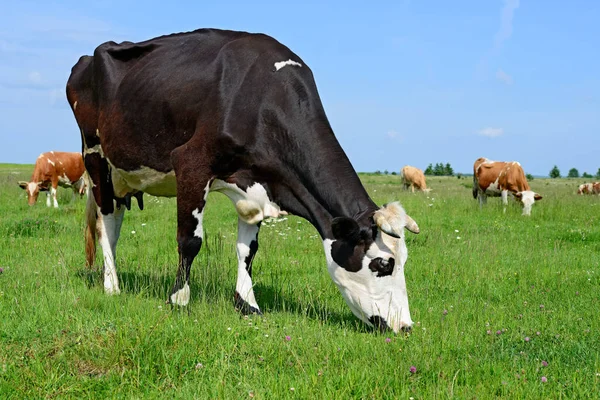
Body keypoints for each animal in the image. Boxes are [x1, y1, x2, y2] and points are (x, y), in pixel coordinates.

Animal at [65, 28, 420, 332]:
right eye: (382, 264)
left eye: (403, 260)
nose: (405, 327)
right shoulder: (191, 163)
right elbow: (190, 241)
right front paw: (179, 300)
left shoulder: (257, 184)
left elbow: (248, 249)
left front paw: (248, 304)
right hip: (95, 157)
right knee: (106, 225)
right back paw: (112, 285)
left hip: (122, 175)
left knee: (115, 220)